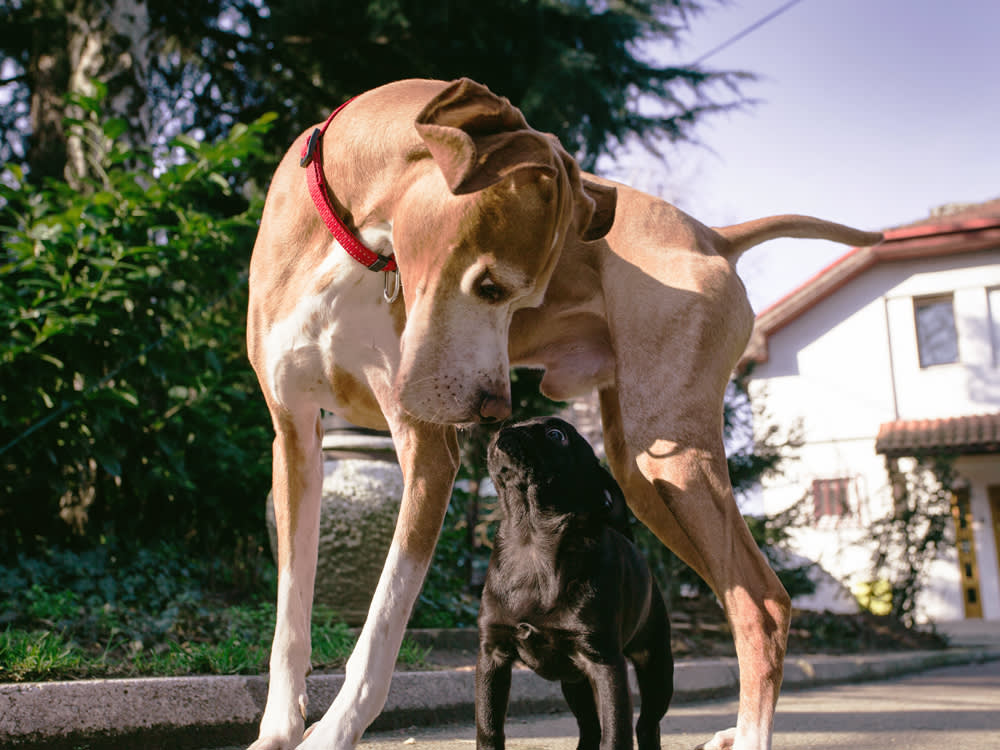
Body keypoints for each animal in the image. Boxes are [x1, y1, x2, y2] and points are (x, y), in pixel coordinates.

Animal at [476, 418, 672, 750]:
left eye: (556, 435)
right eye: (512, 423)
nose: (504, 430)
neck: (531, 541)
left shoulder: (604, 662)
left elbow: (615, 733)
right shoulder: (493, 655)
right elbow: (488, 728)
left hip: (656, 669)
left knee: (646, 724)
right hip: (574, 684)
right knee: (590, 726)